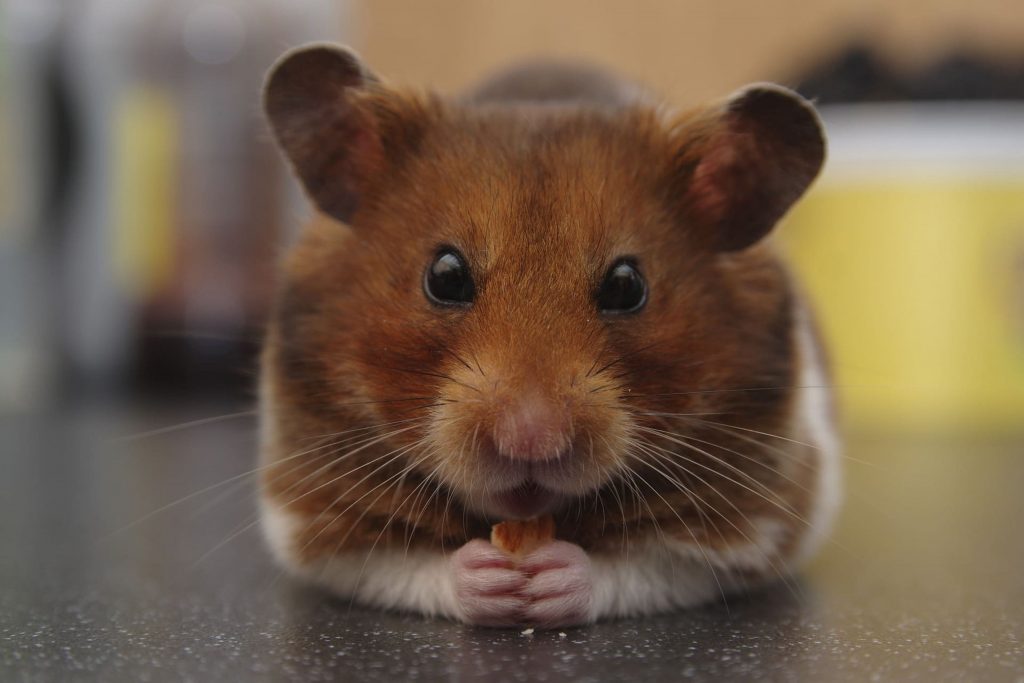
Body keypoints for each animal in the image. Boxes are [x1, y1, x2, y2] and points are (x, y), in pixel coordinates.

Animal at [258, 43, 841, 628]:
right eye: (444, 276)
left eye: (627, 285)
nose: (530, 440)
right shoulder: (310, 518)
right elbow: (405, 565)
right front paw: (491, 578)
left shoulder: (758, 523)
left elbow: (641, 566)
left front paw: (549, 578)